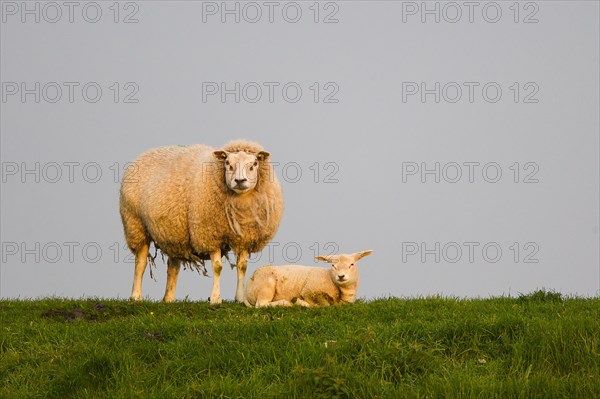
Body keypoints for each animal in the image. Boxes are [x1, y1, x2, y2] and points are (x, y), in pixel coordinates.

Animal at [120, 139, 284, 304]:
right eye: (227, 163)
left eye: (254, 164)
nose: (239, 181)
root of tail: (145, 154)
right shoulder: (210, 234)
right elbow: (217, 267)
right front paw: (216, 298)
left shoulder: (245, 238)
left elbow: (242, 267)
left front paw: (239, 298)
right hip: (135, 223)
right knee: (140, 262)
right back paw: (136, 296)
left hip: (174, 233)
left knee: (173, 267)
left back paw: (168, 299)